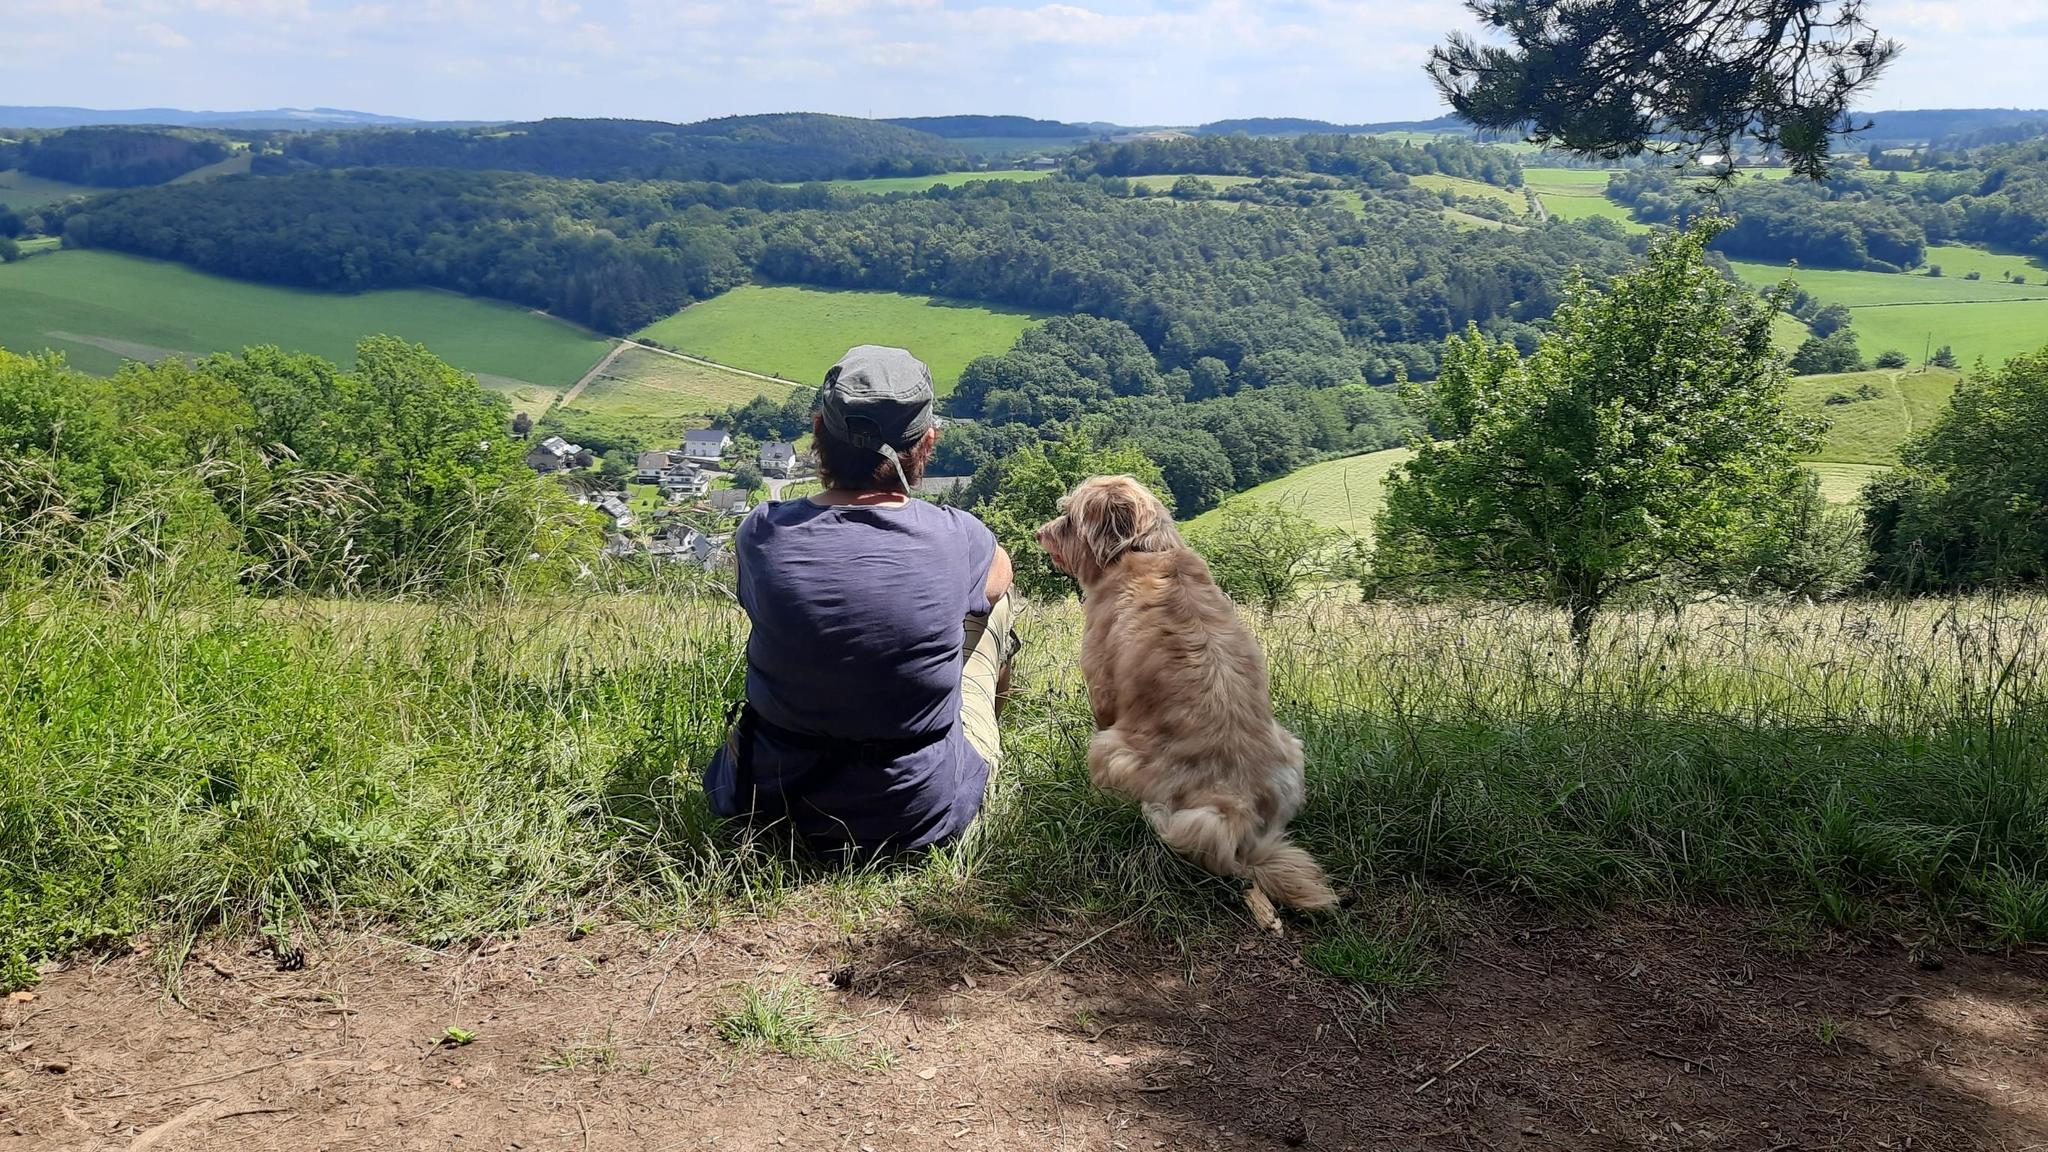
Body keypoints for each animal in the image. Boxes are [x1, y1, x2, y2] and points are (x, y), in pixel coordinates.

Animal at [1036, 475, 1338, 932]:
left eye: (1069, 516)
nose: (1040, 533)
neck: (1143, 551)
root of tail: (1235, 807)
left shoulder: (1103, 693)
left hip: (1109, 749)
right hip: (1291, 748)